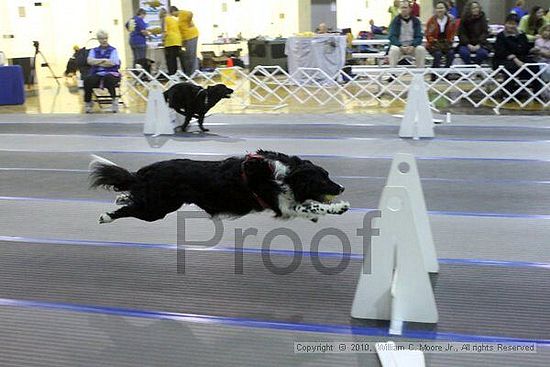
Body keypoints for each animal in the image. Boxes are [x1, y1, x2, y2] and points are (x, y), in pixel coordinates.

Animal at [89, 150, 350, 224]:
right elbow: (310, 207)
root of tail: (147, 171)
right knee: (130, 209)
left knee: (131, 198)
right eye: (322, 179)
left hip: (160, 203)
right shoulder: (283, 207)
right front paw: (338, 208)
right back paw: (106, 216)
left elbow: (308, 207)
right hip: (157, 209)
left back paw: (121, 198)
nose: (341, 188)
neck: (286, 174)